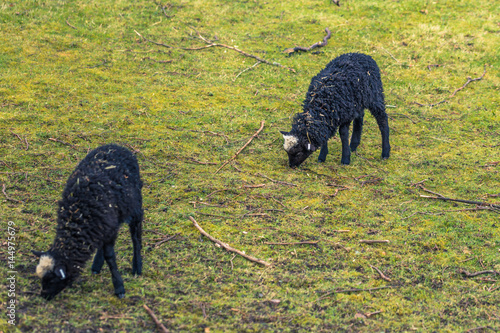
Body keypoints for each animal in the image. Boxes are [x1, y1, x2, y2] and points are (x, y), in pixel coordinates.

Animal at [33, 144, 143, 300]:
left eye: (53, 279)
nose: (44, 296)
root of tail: (117, 146)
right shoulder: (103, 227)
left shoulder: (110, 228)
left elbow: (110, 256)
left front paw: (119, 287)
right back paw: (97, 265)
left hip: (135, 204)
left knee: (136, 233)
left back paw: (137, 266)